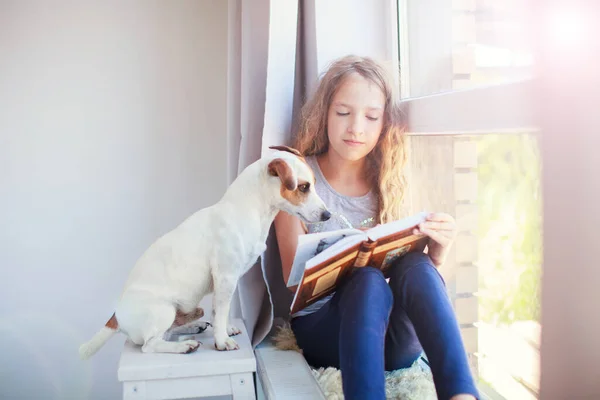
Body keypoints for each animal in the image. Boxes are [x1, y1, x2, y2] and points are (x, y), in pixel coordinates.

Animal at [78, 145, 330, 358]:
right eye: (304, 187)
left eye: (313, 183)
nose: (327, 215)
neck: (247, 210)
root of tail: (115, 317)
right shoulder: (226, 276)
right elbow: (222, 310)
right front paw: (222, 341)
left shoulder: (228, 281)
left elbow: (220, 312)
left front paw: (225, 329)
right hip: (163, 310)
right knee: (150, 344)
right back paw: (183, 346)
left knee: (169, 332)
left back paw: (193, 326)